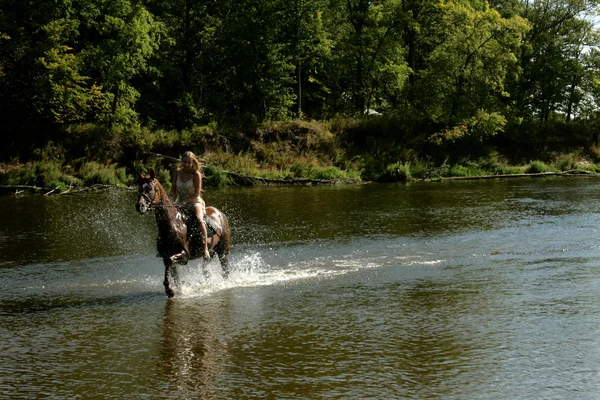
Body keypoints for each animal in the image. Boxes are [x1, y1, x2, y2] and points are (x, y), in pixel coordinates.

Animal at [136, 167, 230, 296]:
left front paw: (169, 289)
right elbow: (171, 270)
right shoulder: (167, 254)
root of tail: (221, 214)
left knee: (225, 271)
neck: (172, 223)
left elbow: (169, 261)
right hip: (212, 252)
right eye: (139, 188)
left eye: (150, 188)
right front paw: (174, 289)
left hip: (222, 252)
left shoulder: (185, 255)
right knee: (205, 269)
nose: (140, 206)